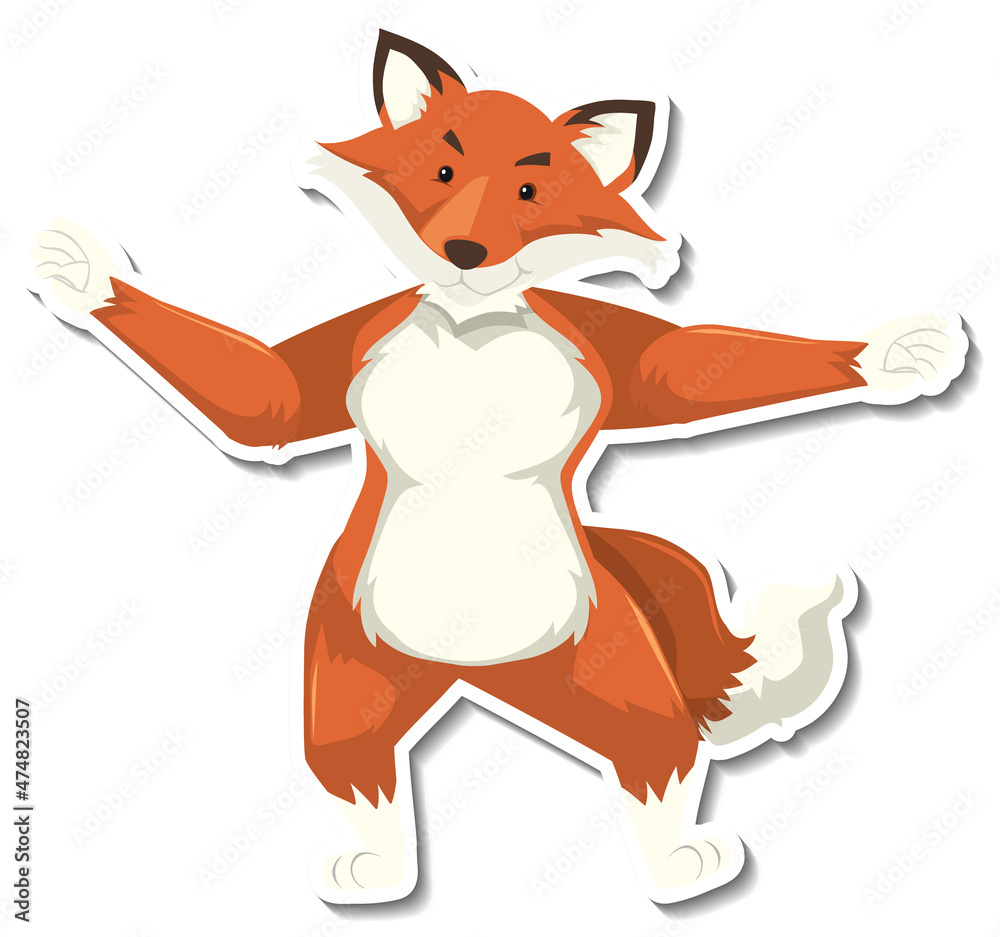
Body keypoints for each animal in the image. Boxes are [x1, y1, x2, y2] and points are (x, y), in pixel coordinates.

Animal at [30, 30, 967, 905]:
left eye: (528, 192)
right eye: (441, 169)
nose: (464, 249)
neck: (469, 321)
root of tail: (478, 675)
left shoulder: (611, 351)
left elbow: (687, 369)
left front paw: (887, 356)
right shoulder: (350, 349)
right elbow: (272, 398)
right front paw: (86, 278)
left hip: (610, 667)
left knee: (660, 752)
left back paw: (678, 865)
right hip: (356, 674)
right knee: (357, 765)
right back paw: (378, 869)